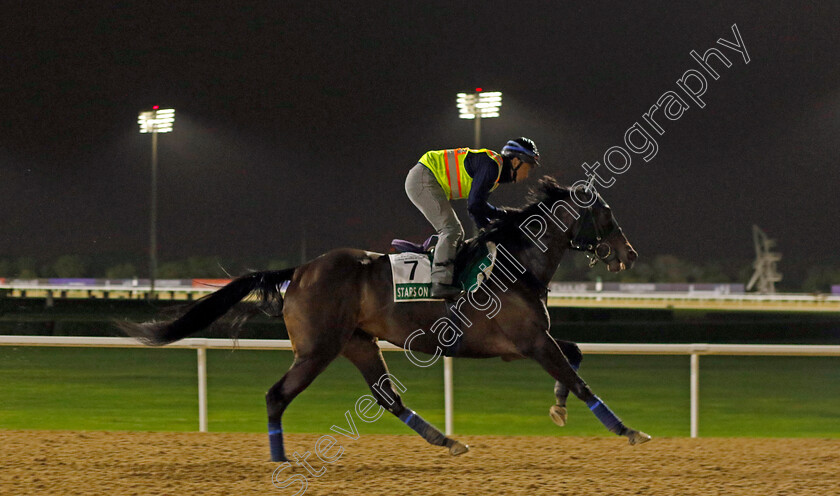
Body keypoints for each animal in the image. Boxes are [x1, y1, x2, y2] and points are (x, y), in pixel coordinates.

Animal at [123, 177, 648, 462]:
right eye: (605, 214)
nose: (629, 253)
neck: (515, 262)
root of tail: (301, 270)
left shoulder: (525, 343)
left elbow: (575, 359)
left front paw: (558, 408)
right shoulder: (530, 342)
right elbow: (580, 379)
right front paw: (628, 431)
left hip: (358, 342)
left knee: (387, 397)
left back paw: (448, 441)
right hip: (317, 349)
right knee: (277, 396)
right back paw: (282, 458)